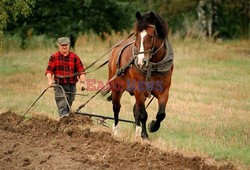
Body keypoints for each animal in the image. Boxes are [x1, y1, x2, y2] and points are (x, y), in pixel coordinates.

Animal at [107, 10, 174, 139]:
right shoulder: (139, 89)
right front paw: (144, 135)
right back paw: (116, 131)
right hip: (116, 86)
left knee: (135, 110)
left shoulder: (164, 91)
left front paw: (152, 126)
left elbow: (161, 114)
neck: (152, 67)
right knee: (116, 107)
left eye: (151, 35)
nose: (140, 61)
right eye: (137, 35)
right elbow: (143, 114)